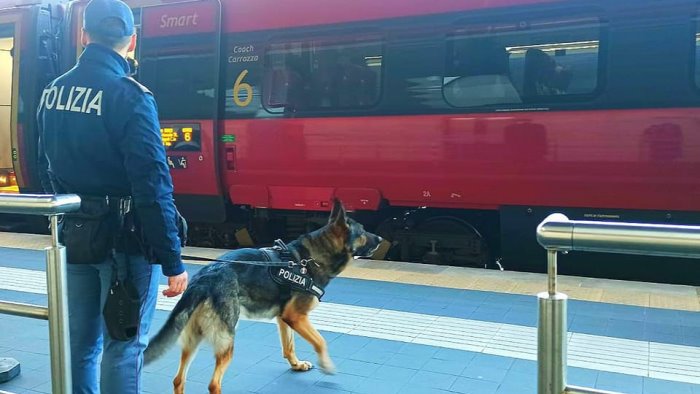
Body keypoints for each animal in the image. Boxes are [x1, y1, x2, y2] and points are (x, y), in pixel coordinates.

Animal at [144, 200, 382, 394]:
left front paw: (297, 365)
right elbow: (321, 341)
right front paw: (327, 365)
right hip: (226, 342)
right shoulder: (297, 317)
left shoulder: (285, 318)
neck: (312, 258)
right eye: (363, 231)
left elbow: (289, 346)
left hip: (193, 340)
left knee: (178, 380)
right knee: (213, 384)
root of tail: (203, 280)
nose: (381, 238)